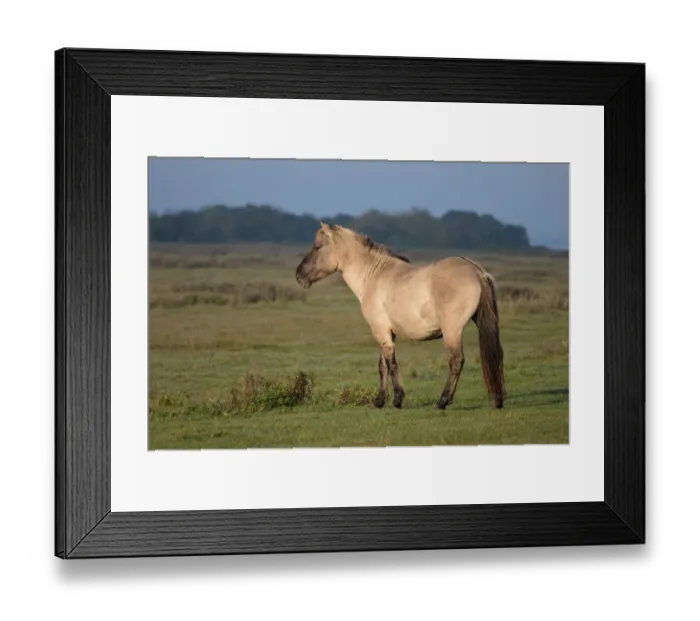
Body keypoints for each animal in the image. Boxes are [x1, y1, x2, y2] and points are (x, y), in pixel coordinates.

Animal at [295, 221, 506, 410]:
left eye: (317, 246)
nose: (298, 275)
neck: (373, 276)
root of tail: (477, 271)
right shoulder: (387, 332)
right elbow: (383, 366)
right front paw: (380, 401)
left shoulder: (380, 331)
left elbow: (392, 363)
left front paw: (397, 399)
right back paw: (497, 400)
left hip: (452, 331)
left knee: (456, 361)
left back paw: (442, 401)